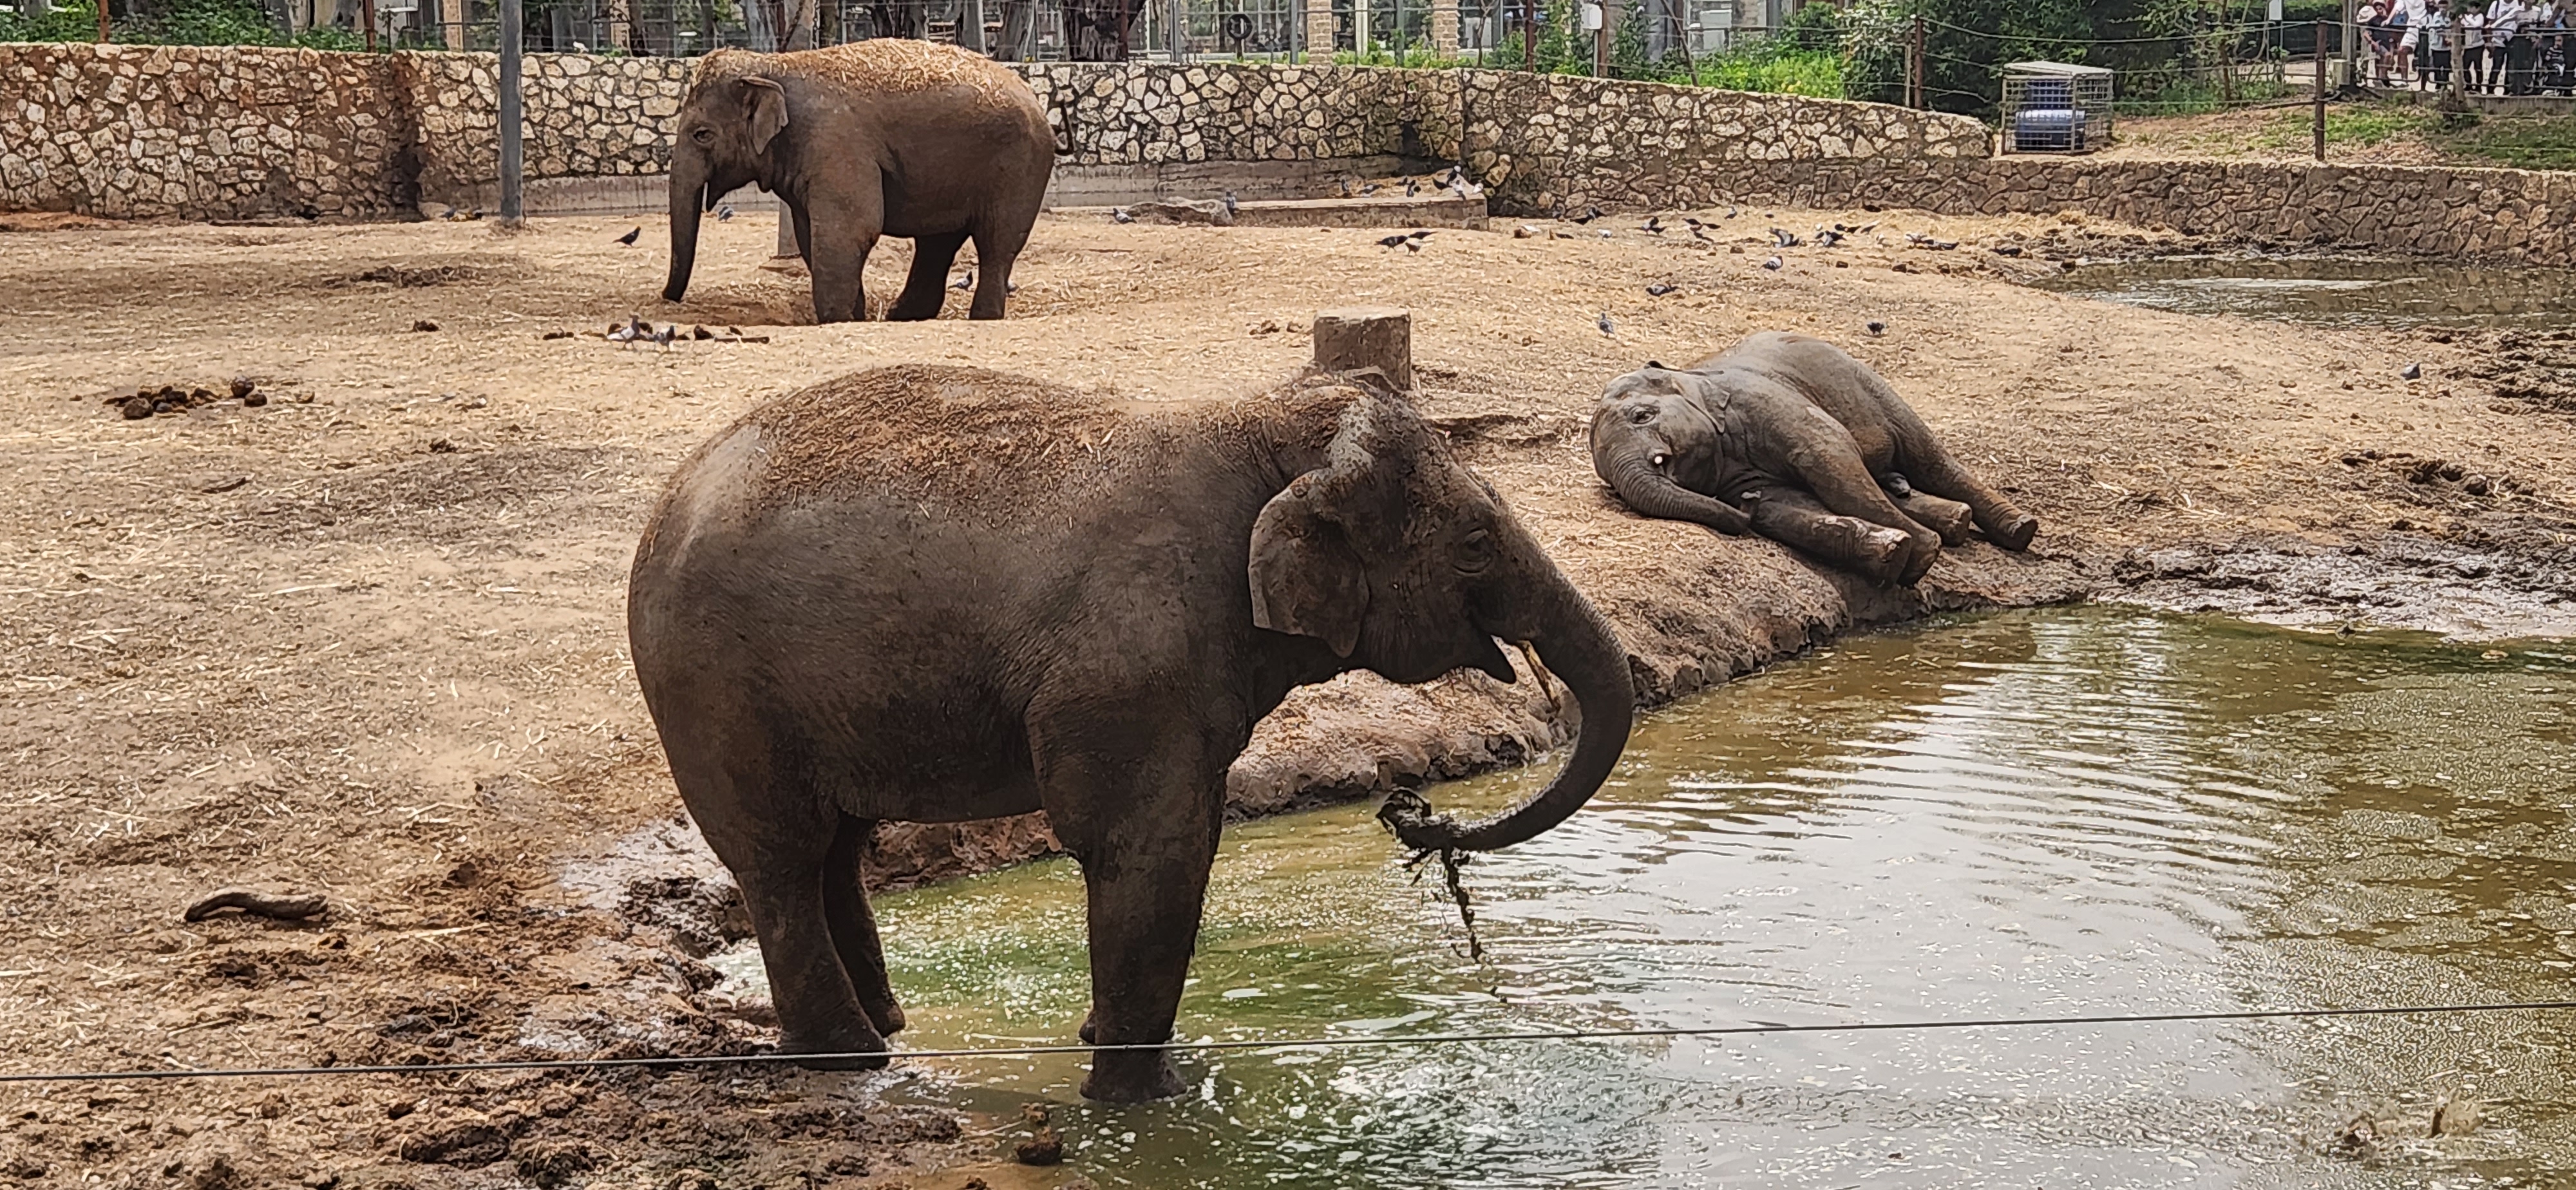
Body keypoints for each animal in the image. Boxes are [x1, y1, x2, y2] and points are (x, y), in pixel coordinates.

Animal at [623, 368, 1628, 1102]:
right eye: (1473, 544)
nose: (1418, 819)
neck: (1262, 421)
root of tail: (666, 504)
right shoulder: (1136, 662)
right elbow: (1150, 847)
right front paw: (1149, 1104)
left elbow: (1184, 839)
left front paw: (1109, 1052)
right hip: (717, 688)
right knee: (783, 855)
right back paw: (849, 1061)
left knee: (836, 844)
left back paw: (887, 1030)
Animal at [659, 41, 1051, 321]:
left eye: (702, 135)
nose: (667, 298)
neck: (774, 65)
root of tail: (1036, 101)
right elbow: (809, 234)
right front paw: (854, 314)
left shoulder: (835, 143)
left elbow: (851, 230)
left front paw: (837, 319)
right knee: (938, 243)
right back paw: (902, 317)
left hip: (1020, 170)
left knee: (996, 244)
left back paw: (982, 317)